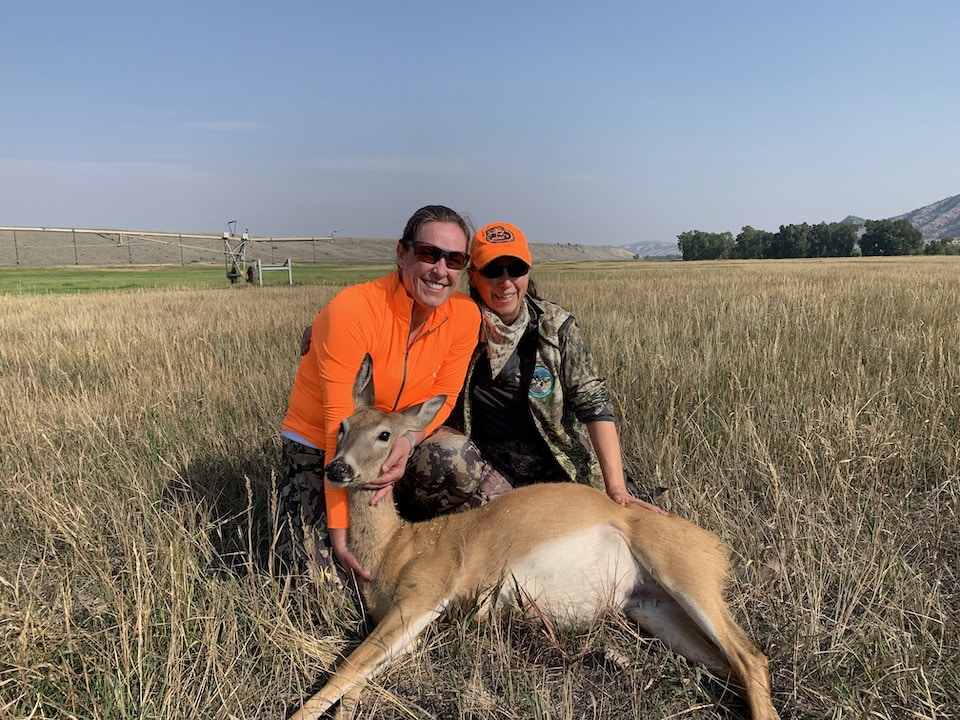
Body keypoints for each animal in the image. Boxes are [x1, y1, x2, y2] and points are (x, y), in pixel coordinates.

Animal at [288, 356, 776, 720]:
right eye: (342, 426)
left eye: (385, 434)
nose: (338, 469)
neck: (395, 547)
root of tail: (719, 547)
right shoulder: (404, 622)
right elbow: (355, 682)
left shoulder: (424, 594)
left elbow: (345, 669)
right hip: (653, 607)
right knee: (732, 664)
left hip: (683, 575)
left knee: (751, 656)